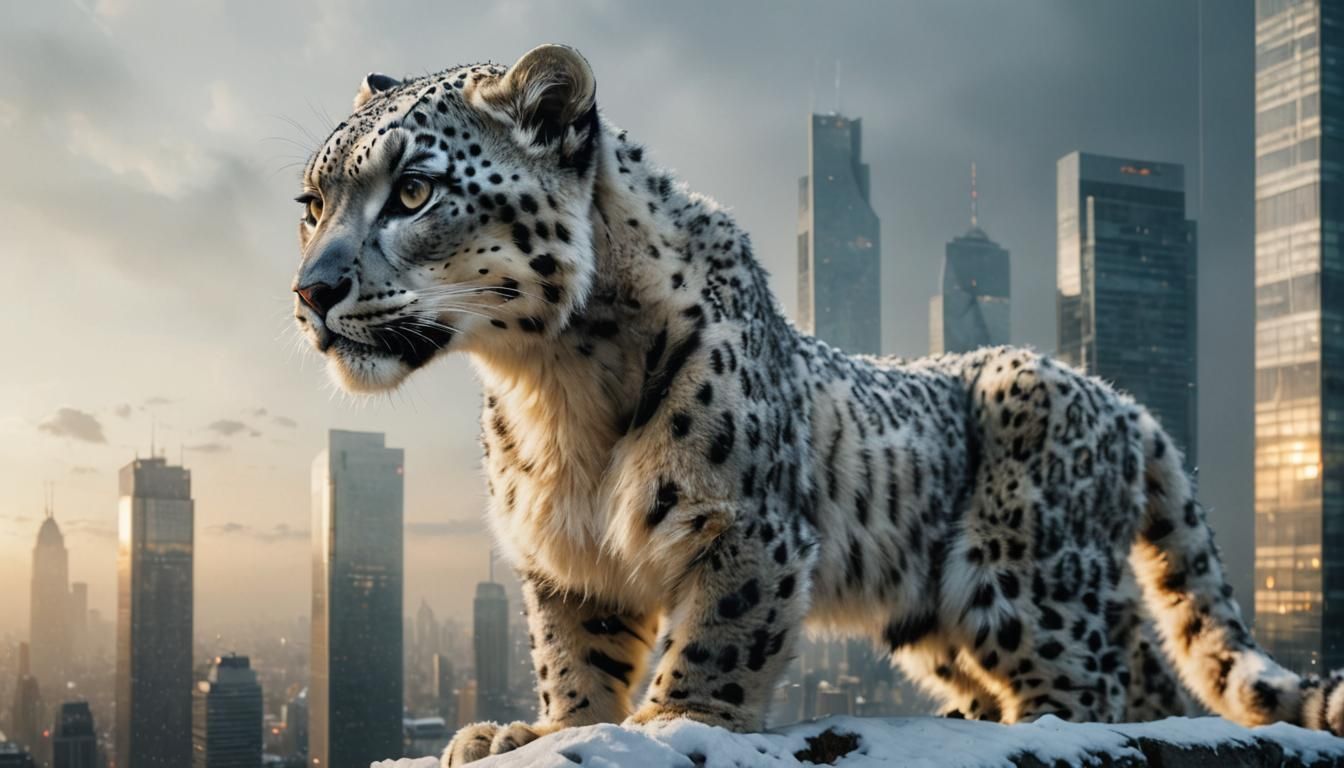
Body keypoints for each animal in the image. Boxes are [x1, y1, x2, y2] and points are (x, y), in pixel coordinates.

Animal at [287, 44, 1344, 766]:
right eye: (312, 203)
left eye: (413, 191)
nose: (311, 291)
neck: (550, 383)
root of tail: (1125, 402)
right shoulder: (565, 556)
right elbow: (574, 656)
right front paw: (538, 730)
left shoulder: (748, 527)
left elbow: (716, 637)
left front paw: (675, 721)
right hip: (964, 613)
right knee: (1144, 665)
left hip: (1030, 581)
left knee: (1097, 681)